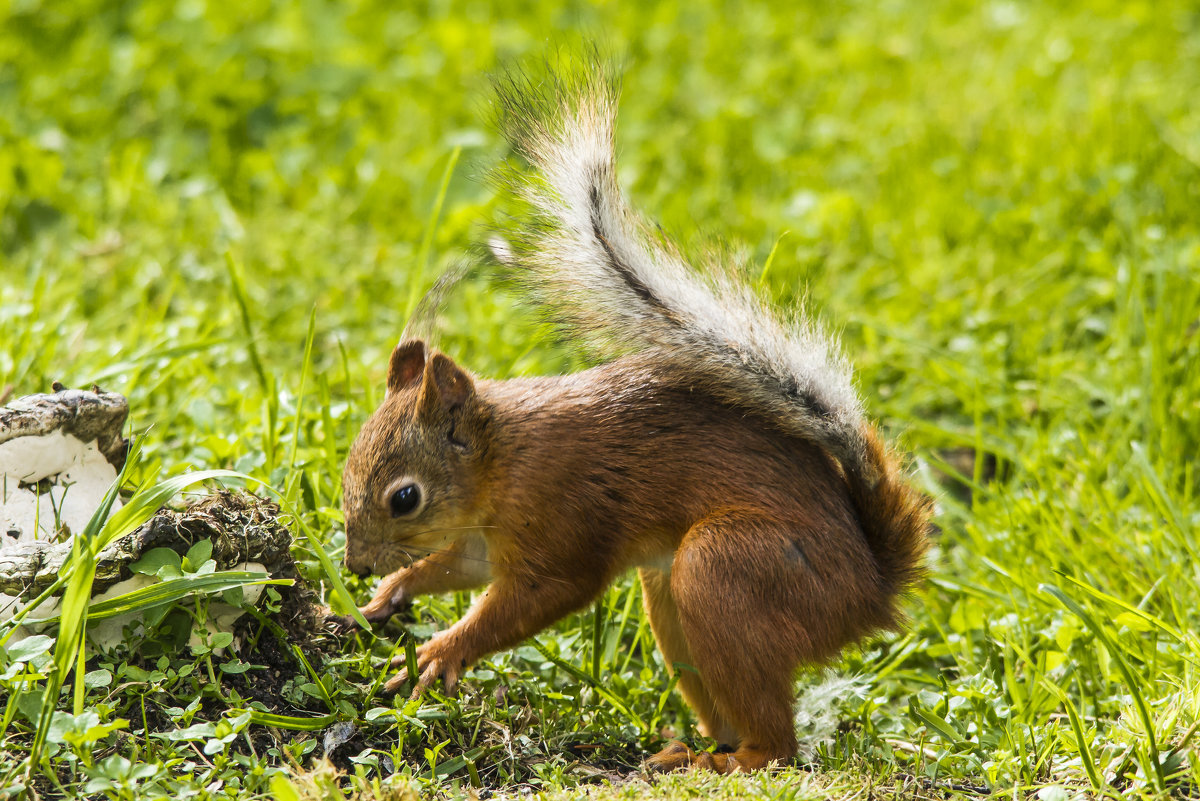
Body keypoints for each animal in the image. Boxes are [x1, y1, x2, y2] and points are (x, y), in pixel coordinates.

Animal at [343, 68, 931, 777]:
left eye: (405, 498)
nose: (353, 565)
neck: (505, 458)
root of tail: (872, 592)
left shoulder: (563, 521)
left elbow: (540, 595)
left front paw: (440, 651)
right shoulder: (485, 538)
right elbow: (460, 565)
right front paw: (394, 592)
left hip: (728, 569)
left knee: (779, 749)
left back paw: (724, 761)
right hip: (674, 599)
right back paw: (692, 748)